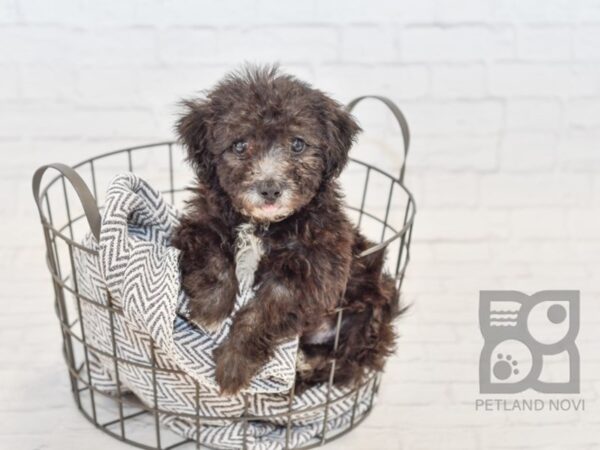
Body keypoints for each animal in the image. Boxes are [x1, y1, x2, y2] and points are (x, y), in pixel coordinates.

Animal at [171, 66, 400, 394]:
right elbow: (214, 257)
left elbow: (262, 312)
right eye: (239, 145)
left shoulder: (313, 271)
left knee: (344, 361)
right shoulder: (201, 221)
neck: (264, 225)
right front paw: (210, 309)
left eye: (298, 144)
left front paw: (234, 363)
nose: (269, 189)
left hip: (371, 312)